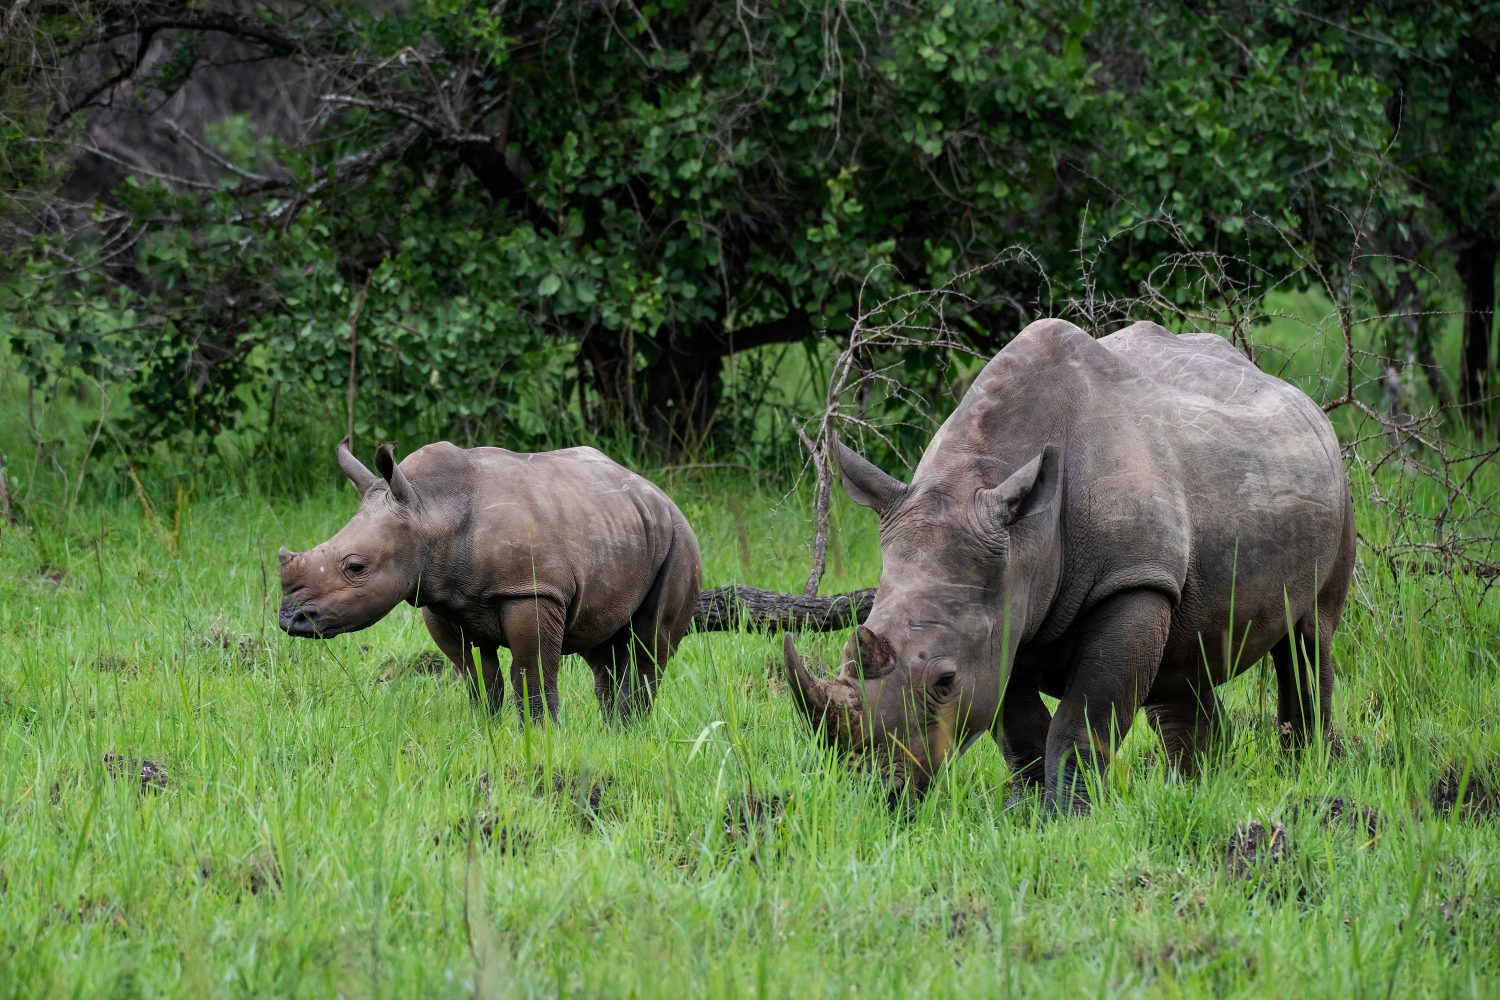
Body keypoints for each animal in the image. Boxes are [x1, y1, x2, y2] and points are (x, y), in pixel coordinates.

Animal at [279, 440, 699, 722]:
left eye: (355, 567)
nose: (290, 619)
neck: (430, 511)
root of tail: (661, 495)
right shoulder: (441, 598)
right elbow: (477, 677)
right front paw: (487, 731)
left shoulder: (533, 591)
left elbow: (531, 675)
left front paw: (541, 736)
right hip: (618, 524)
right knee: (602, 645)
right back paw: (613, 733)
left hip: (680, 540)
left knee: (650, 645)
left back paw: (632, 732)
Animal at [786, 320, 1362, 815]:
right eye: (846, 657)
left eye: (945, 681)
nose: (878, 791)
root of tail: (1293, 392)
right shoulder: (1003, 609)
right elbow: (1019, 727)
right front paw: (1024, 811)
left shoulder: (1130, 580)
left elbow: (1083, 719)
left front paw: (1069, 816)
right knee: (1183, 660)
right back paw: (1197, 789)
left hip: (1334, 487)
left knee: (1309, 639)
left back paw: (1305, 773)